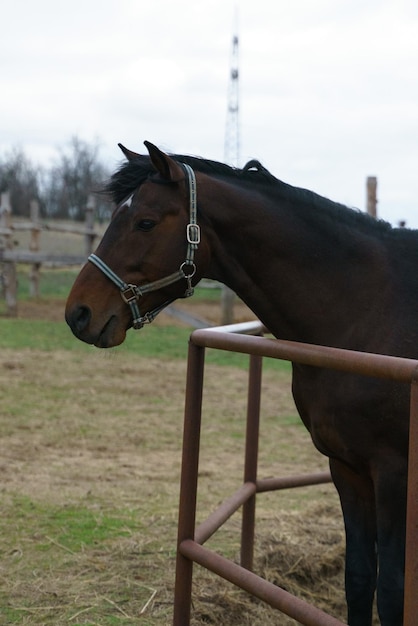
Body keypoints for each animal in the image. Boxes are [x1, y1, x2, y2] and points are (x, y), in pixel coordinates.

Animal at [63, 141, 414, 624]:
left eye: (145, 222)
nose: (78, 313)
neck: (369, 312)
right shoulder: (347, 467)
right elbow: (360, 579)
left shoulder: (393, 474)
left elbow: (392, 592)